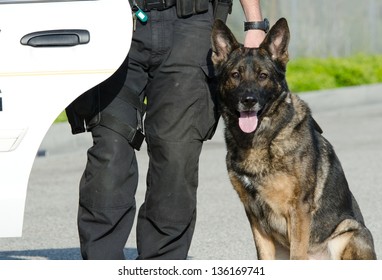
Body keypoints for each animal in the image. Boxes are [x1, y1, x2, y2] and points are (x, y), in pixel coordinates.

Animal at [212, 18, 376, 260]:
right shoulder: (254, 215)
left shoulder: (298, 210)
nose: (248, 100)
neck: (263, 140)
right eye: (235, 75)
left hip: (351, 232)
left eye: (263, 76)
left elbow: (297, 254)